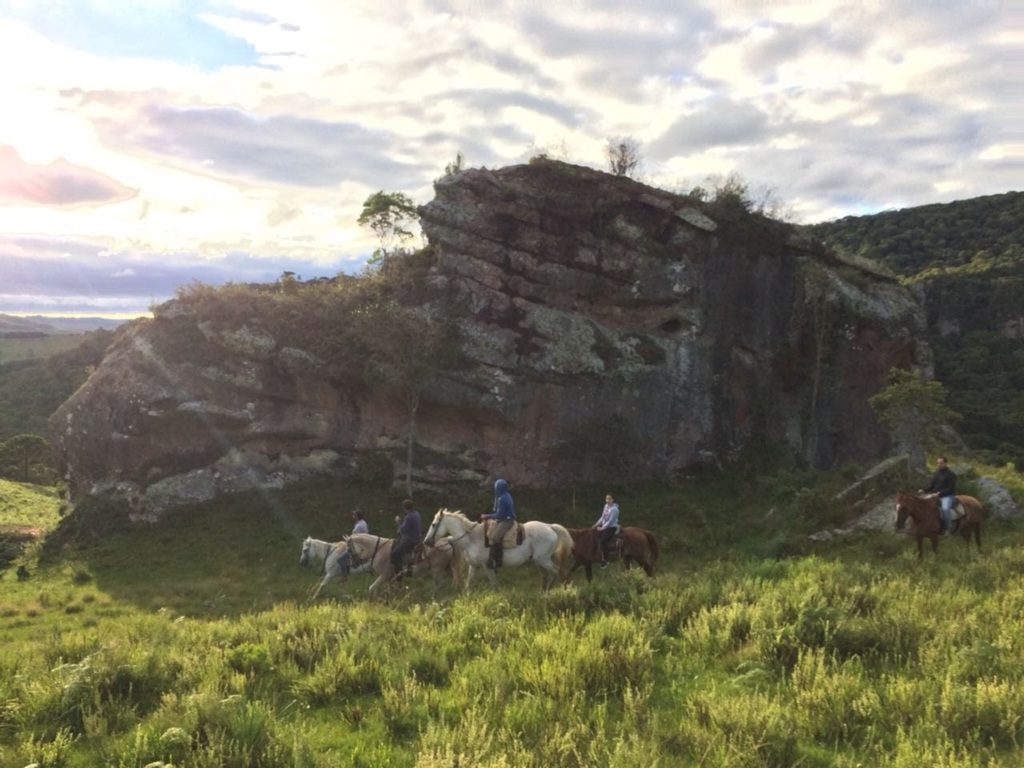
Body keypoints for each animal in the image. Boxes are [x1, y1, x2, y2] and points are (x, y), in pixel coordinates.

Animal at [419, 512, 573, 593]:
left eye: (433, 524)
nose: (426, 542)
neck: (472, 538)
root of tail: (550, 527)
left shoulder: (487, 566)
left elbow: (494, 584)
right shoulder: (474, 566)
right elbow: (469, 583)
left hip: (543, 559)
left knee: (556, 570)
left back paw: (561, 590)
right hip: (538, 560)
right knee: (547, 574)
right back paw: (545, 591)